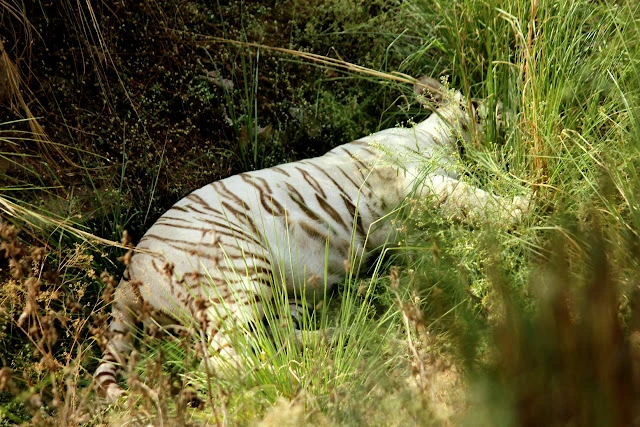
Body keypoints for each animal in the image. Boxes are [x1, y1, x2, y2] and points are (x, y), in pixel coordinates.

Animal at [94, 77, 529, 402]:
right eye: (478, 102)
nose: (515, 109)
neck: (437, 134)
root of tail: (129, 273)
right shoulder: (410, 180)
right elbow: (470, 196)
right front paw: (524, 205)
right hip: (236, 268)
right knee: (225, 360)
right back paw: (297, 383)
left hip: (265, 295)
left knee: (274, 336)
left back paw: (347, 330)